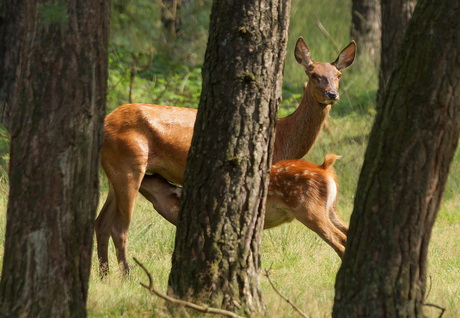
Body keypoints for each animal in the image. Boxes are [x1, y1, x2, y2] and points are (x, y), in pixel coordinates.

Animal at [96, 36, 356, 274]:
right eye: (313, 74)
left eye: (338, 75)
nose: (331, 94)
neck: (283, 137)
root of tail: (106, 122)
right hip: (130, 164)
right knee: (119, 227)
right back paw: (126, 275)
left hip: (114, 172)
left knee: (101, 223)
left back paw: (104, 275)